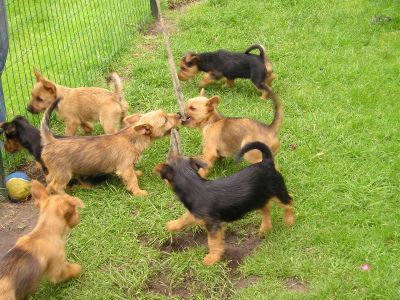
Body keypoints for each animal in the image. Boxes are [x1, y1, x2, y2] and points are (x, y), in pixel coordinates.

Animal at [41, 99, 181, 196]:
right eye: (165, 120)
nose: (179, 114)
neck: (132, 138)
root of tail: (52, 141)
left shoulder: (128, 166)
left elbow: (133, 173)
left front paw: (137, 173)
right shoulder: (125, 167)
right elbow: (132, 180)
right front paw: (138, 192)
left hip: (55, 172)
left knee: (49, 180)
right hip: (63, 173)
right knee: (56, 186)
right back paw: (68, 197)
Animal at [155, 142, 294, 266]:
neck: (193, 184)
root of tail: (267, 162)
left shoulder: (213, 226)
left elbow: (213, 243)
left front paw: (212, 258)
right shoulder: (196, 214)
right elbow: (184, 218)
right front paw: (172, 225)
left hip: (278, 192)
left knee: (289, 202)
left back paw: (289, 221)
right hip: (259, 198)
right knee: (266, 208)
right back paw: (265, 228)